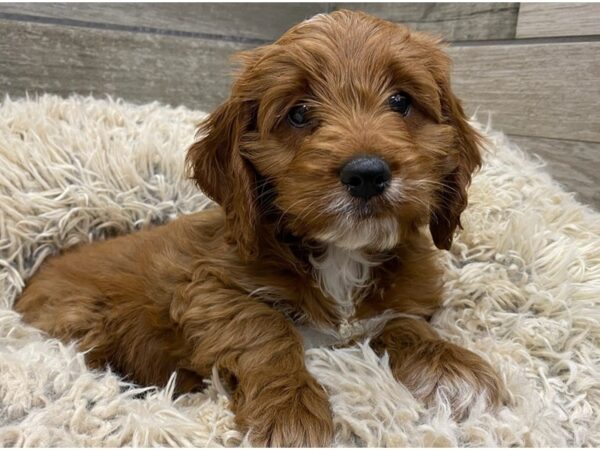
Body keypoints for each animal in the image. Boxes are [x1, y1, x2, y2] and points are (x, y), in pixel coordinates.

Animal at [15, 9, 502, 446]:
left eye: (401, 101)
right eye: (299, 113)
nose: (366, 173)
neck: (340, 254)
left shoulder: (403, 300)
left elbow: (405, 323)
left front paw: (452, 368)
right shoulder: (207, 290)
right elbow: (265, 327)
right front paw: (290, 412)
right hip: (81, 317)